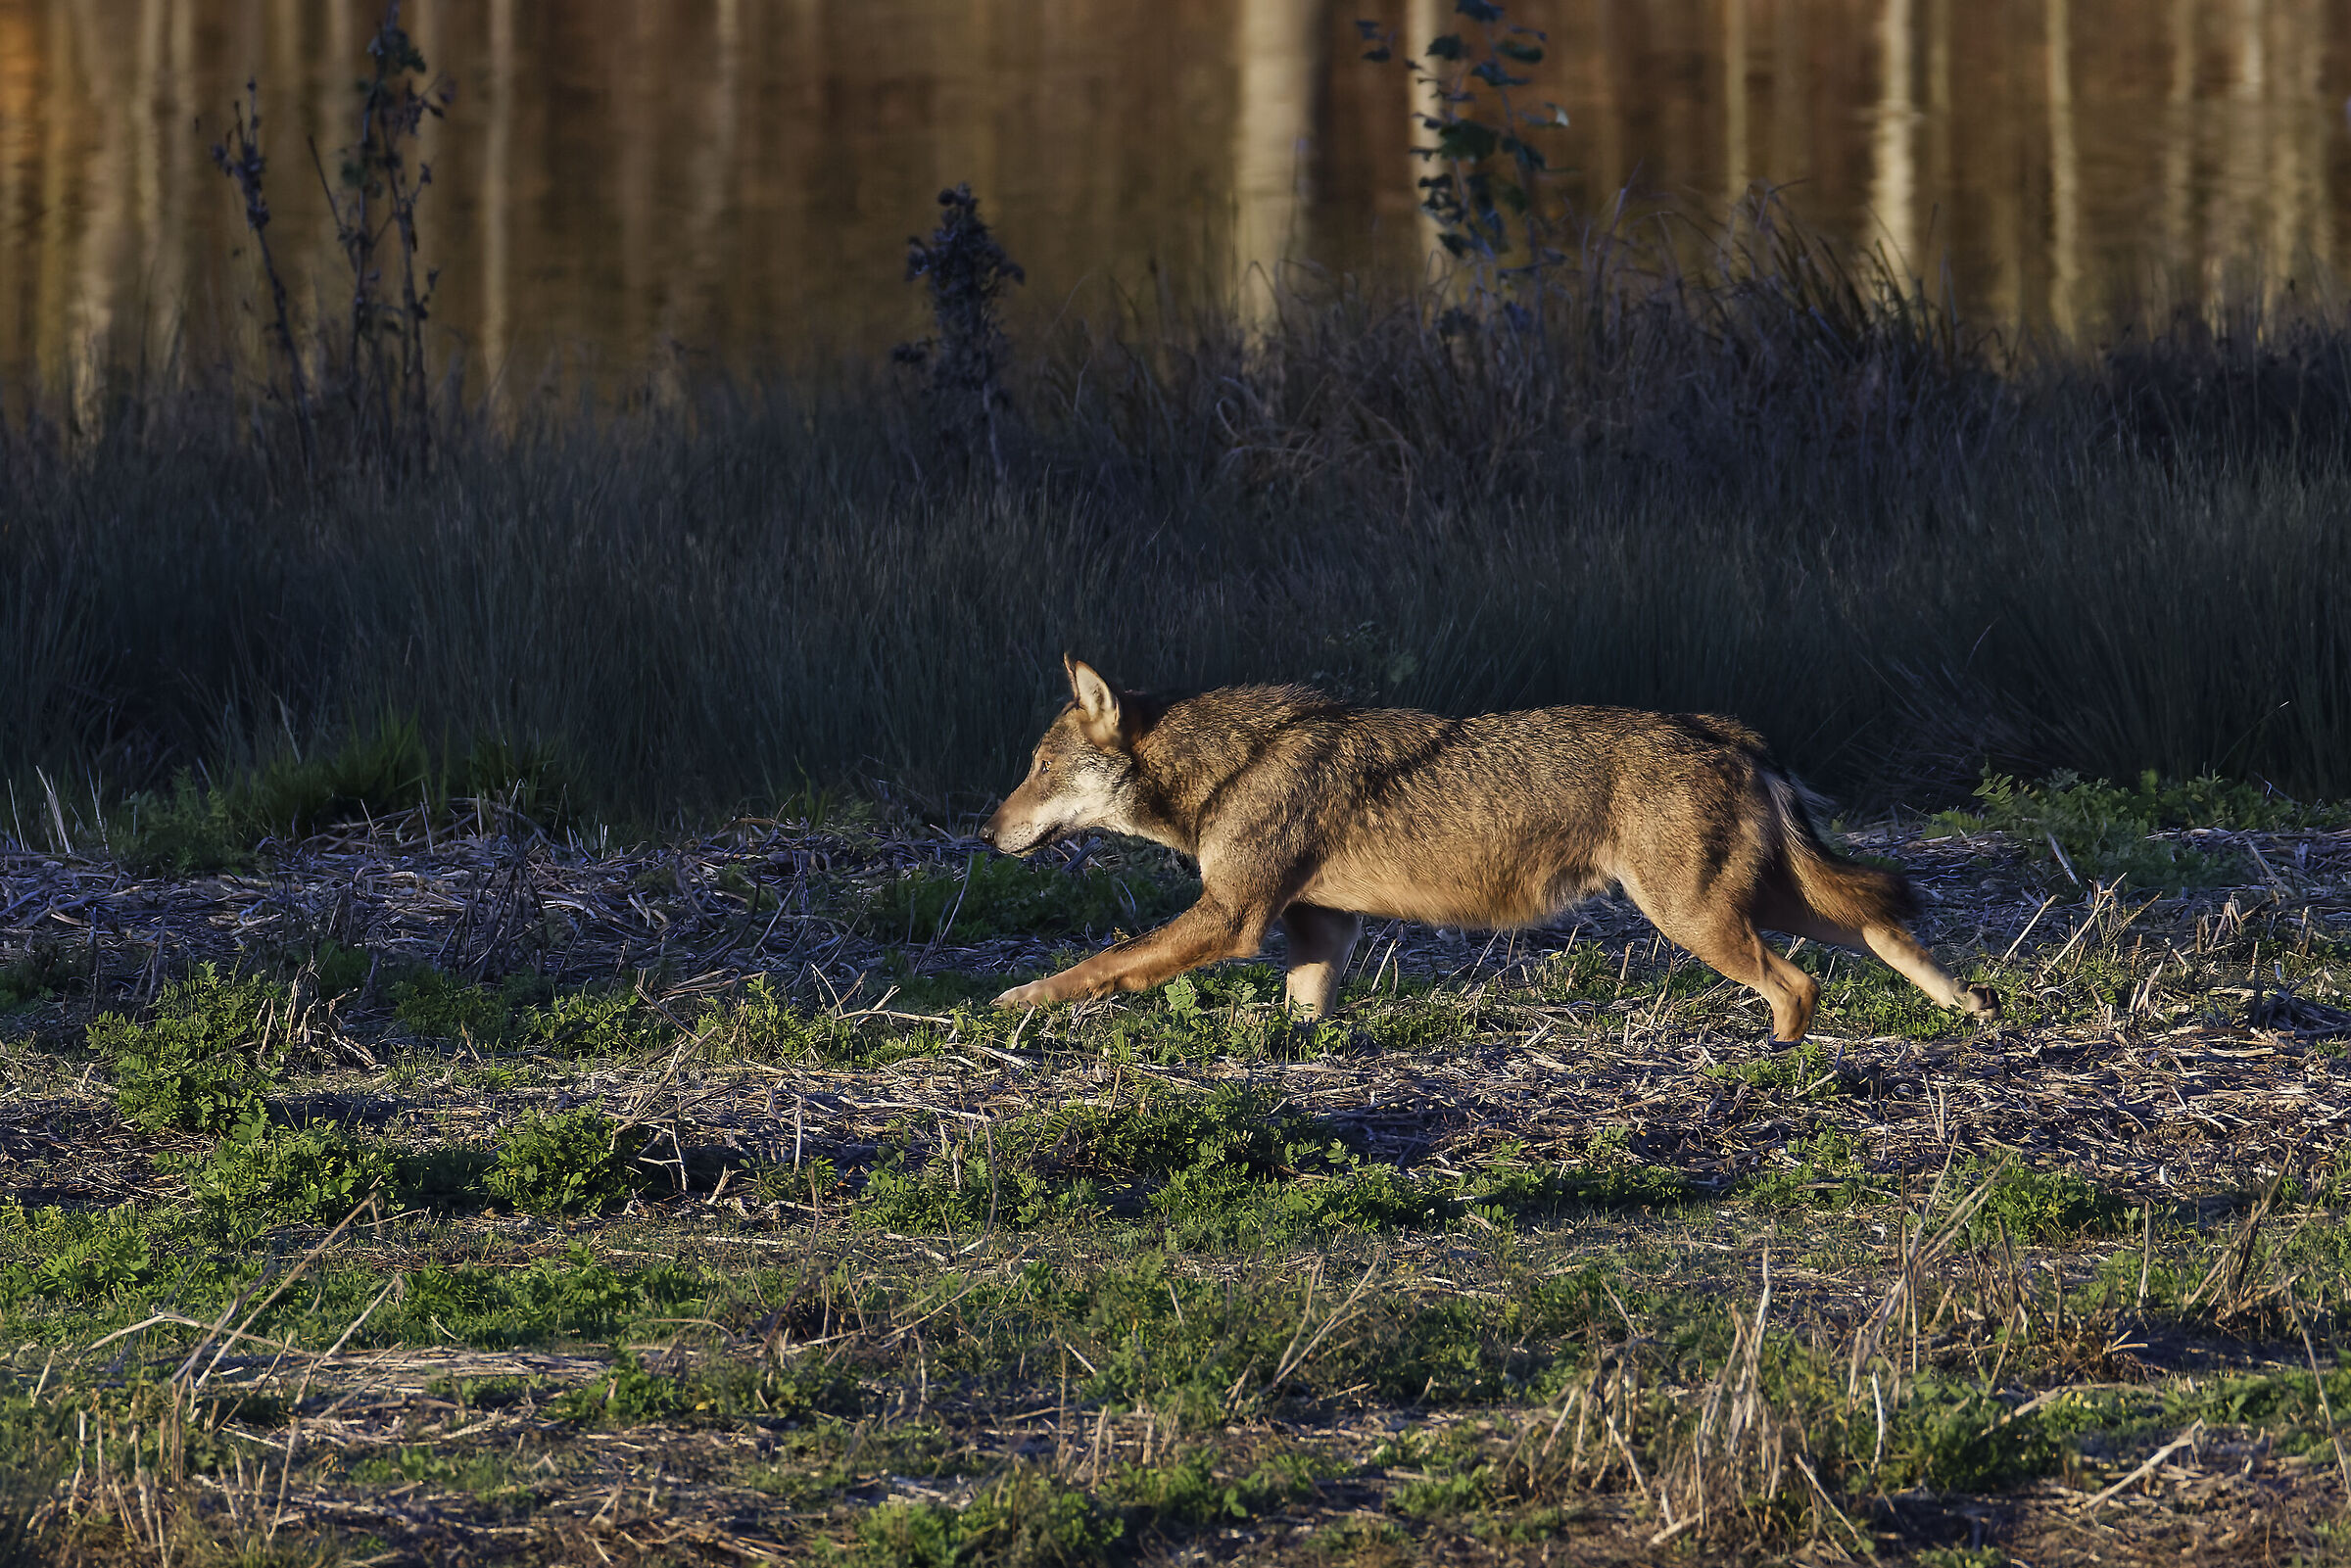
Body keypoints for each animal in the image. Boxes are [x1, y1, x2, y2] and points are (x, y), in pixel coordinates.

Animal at [979, 657, 2000, 1045]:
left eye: (1036, 767)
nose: (986, 831)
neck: (1232, 765)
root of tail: (1726, 731)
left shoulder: (1230, 920)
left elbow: (1103, 963)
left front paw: (1017, 1001)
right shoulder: (1319, 930)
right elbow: (1303, 1010)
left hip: (1700, 919)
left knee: (1799, 983)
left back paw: (1775, 1057)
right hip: (1763, 902)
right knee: (1885, 926)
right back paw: (1971, 1008)